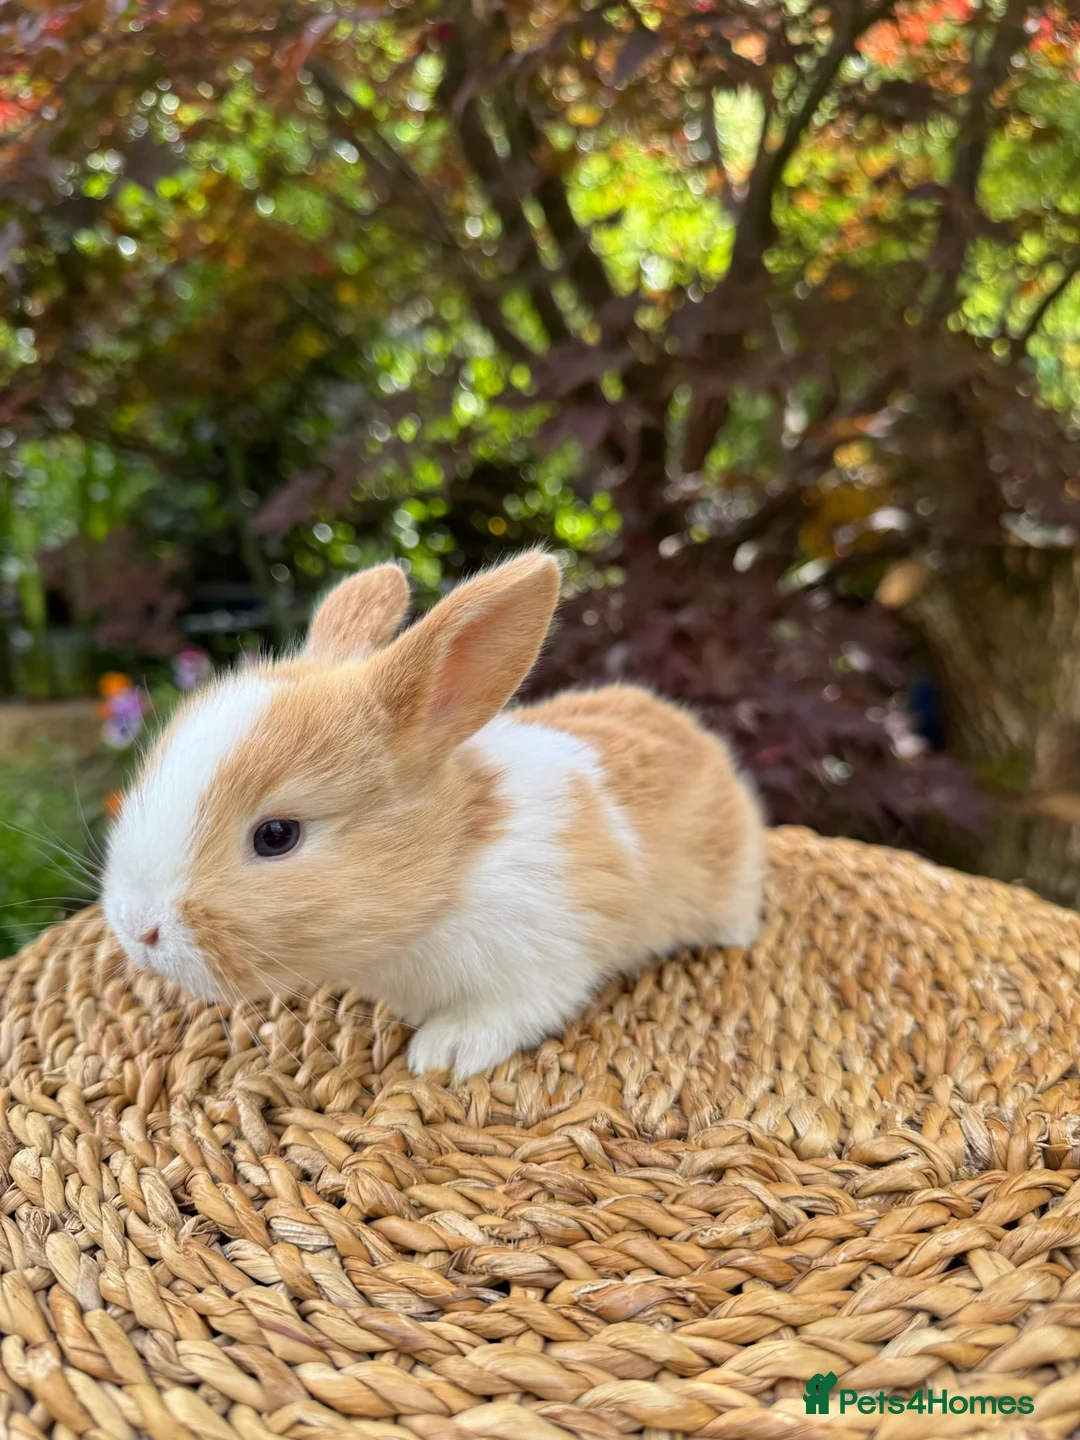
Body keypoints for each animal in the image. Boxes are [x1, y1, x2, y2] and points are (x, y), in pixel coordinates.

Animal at [102, 551, 766, 1079]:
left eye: (277, 835)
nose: (138, 930)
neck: (452, 862)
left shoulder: (541, 965)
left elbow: (507, 1012)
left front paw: (442, 1054)